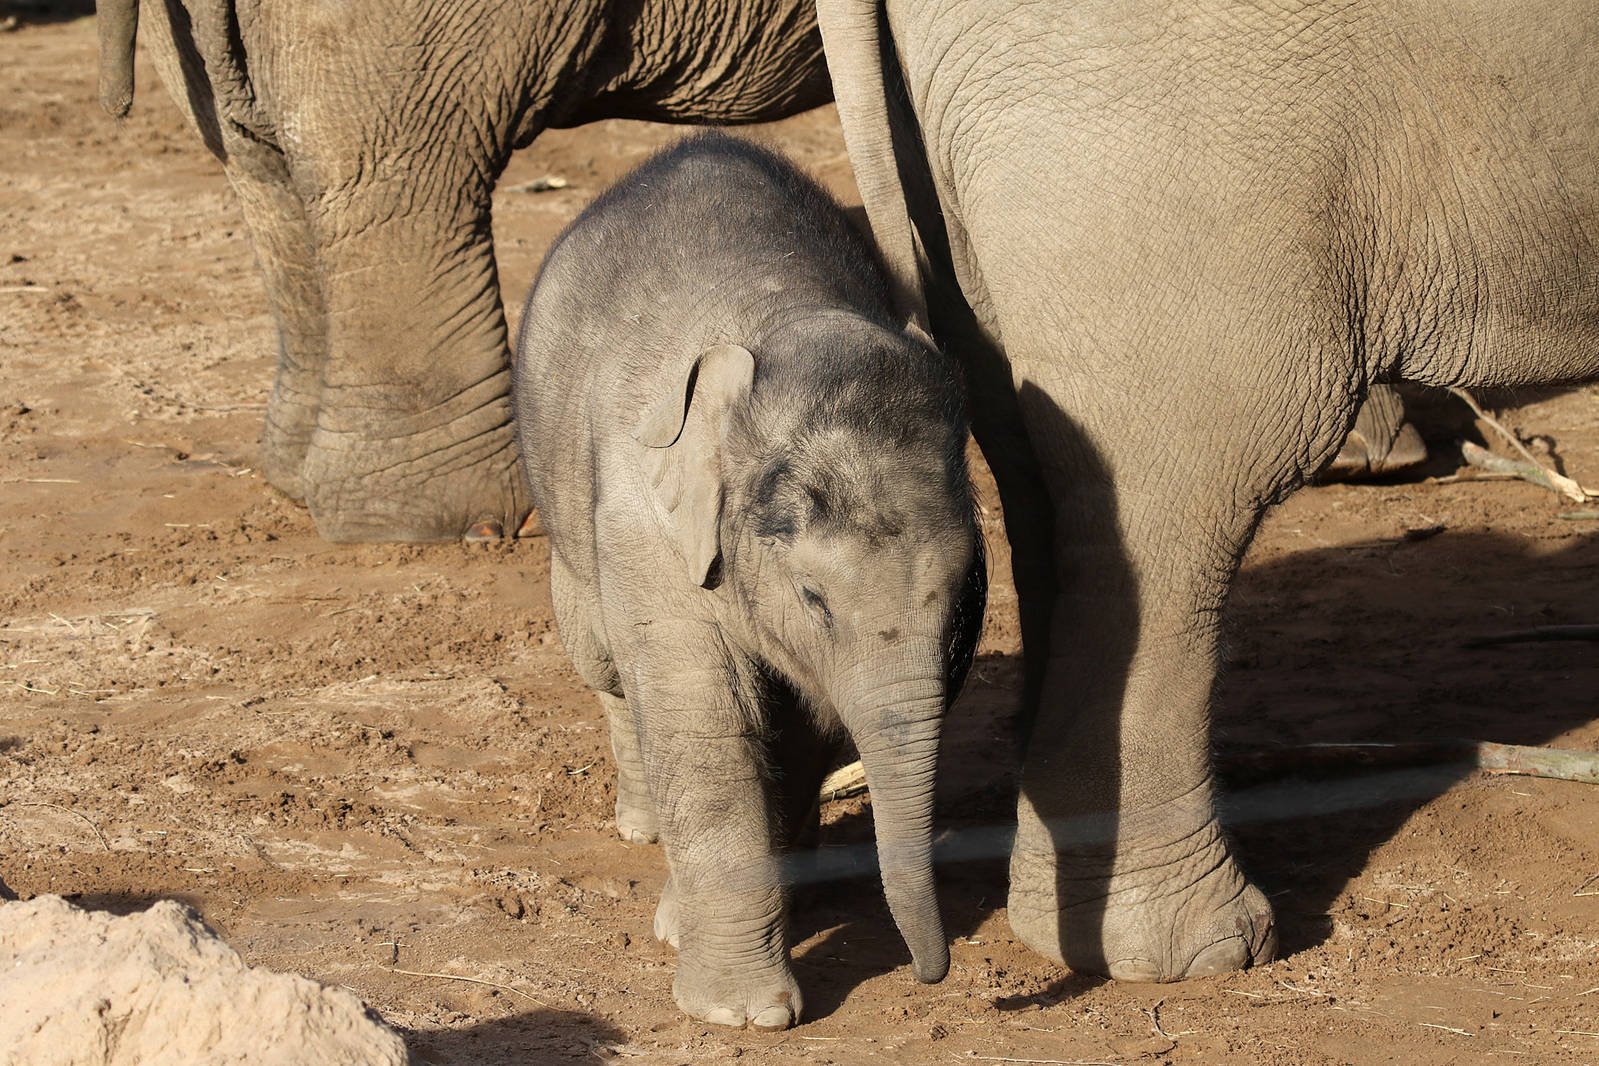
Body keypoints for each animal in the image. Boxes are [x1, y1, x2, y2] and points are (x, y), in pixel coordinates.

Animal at [512, 132, 985, 1028]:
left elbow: (806, 725)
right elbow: (701, 713)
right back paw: (642, 830)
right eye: (813, 599)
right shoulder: (647, 526)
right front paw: (739, 1013)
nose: (929, 976)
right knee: (606, 666)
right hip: (565, 516)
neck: (785, 311)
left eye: (960, 601)